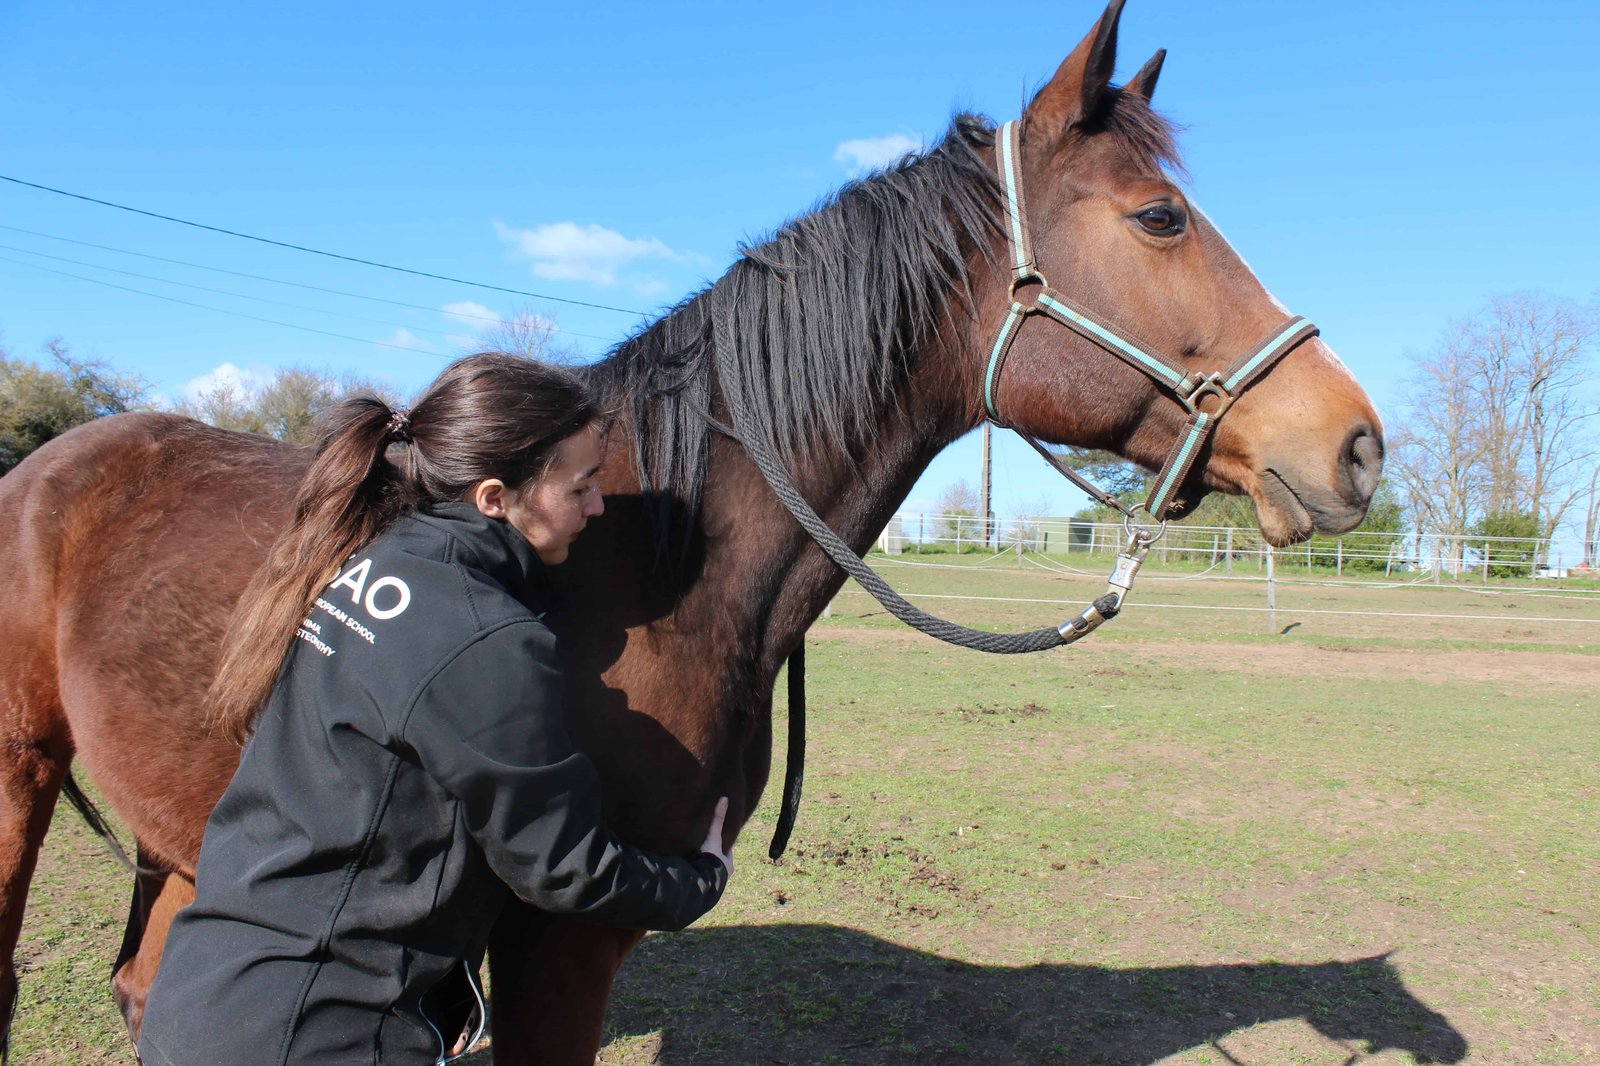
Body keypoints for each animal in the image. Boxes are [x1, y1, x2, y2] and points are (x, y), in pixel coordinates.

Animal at [0, 2, 1383, 1061]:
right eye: (1160, 218)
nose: (1356, 445)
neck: (652, 576)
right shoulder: (559, 940)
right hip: (22, 779)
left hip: (184, 832)